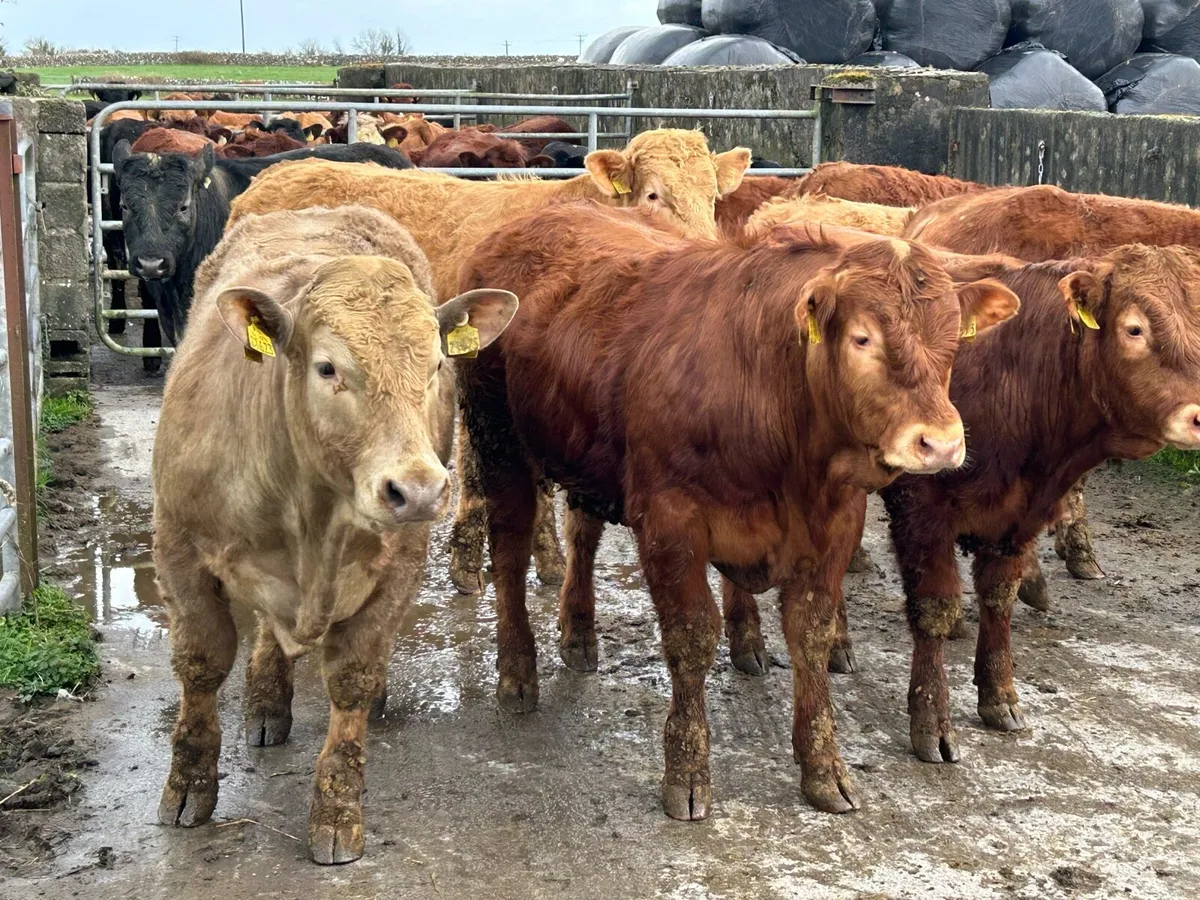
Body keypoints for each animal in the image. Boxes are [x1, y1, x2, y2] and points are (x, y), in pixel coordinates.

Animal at [152, 204, 518, 865]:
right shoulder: (177, 545)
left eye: (435, 366)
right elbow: (202, 664)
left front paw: (338, 809)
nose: (418, 490)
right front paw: (189, 785)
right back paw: (266, 701)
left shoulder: (400, 564)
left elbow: (353, 676)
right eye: (328, 368)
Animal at [455, 201, 1019, 820]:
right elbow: (691, 638)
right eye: (862, 338)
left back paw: (578, 634)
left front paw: (825, 767)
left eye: (954, 339)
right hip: (498, 441)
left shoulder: (835, 524)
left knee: (582, 532)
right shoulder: (670, 522)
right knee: (509, 551)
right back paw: (516, 672)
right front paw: (687, 770)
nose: (939, 443)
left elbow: (811, 636)